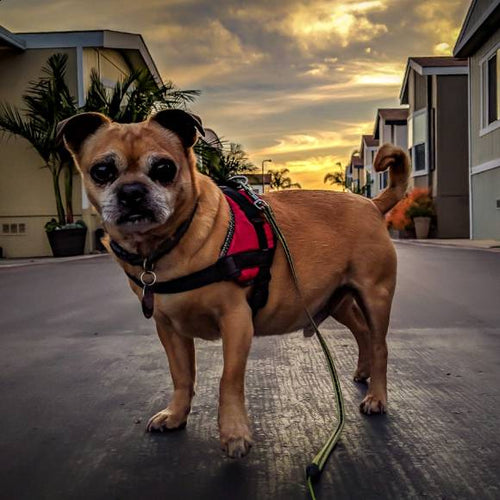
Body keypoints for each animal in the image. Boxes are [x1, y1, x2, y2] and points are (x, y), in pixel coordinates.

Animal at [58, 109, 410, 458]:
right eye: (101, 171)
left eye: (164, 169)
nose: (131, 192)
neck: (166, 247)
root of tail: (373, 204)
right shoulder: (169, 330)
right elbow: (181, 376)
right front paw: (176, 414)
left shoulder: (236, 321)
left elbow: (228, 378)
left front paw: (234, 432)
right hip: (339, 301)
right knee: (362, 332)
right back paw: (363, 372)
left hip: (374, 297)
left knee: (379, 344)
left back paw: (376, 396)